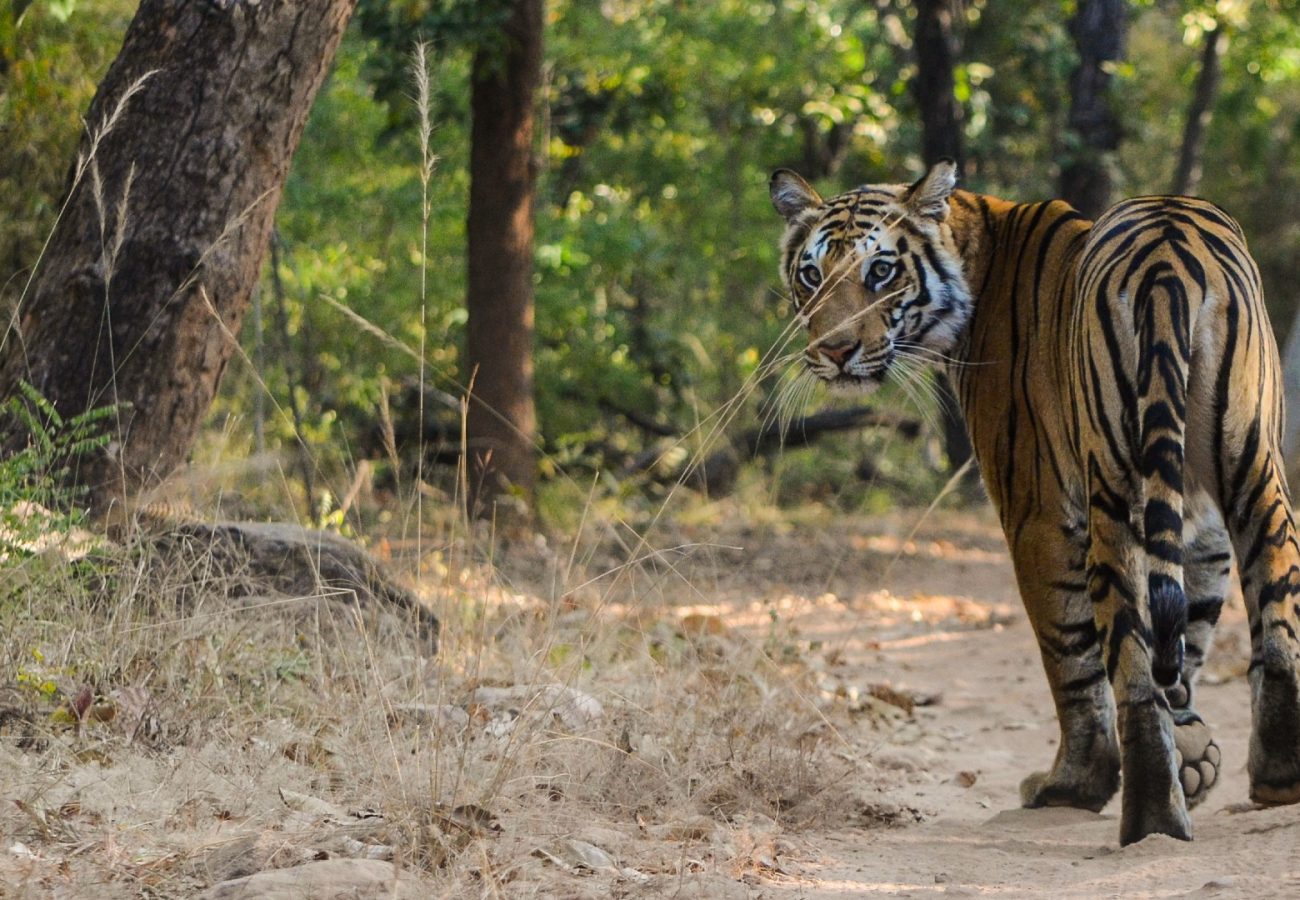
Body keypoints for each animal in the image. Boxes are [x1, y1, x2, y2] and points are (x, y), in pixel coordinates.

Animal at [764, 159, 1300, 842]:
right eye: (812, 275)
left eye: (880, 271)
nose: (833, 352)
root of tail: (1167, 253)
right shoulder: (1199, 521)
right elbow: (1191, 635)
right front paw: (1196, 756)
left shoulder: (1034, 510)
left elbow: (1070, 658)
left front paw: (1075, 785)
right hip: (1253, 466)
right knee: (1273, 624)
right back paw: (1279, 780)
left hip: (1115, 487)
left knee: (1127, 662)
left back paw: (1151, 817)